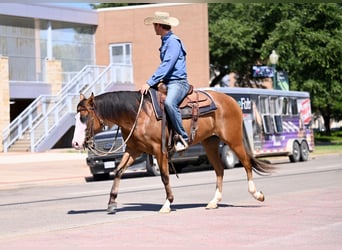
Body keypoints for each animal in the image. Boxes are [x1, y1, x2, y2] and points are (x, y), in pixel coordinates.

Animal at [71, 89, 274, 213]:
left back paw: (257, 194)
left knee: (246, 163)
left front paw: (168, 203)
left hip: (233, 139)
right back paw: (214, 202)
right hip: (210, 142)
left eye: (85, 117)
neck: (139, 114)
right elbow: (119, 171)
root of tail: (230, 100)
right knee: (219, 170)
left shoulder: (158, 151)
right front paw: (111, 203)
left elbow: (164, 176)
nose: (75, 143)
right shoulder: (133, 149)